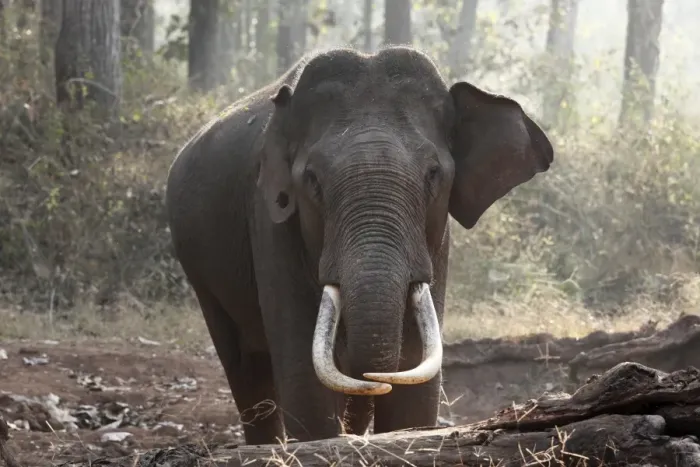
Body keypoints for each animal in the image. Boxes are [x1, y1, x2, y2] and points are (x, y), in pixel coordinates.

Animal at [165, 46, 553, 445]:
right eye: (312, 180)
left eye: (434, 174)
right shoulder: (269, 220)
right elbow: (304, 378)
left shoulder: (438, 241)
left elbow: (413, 380)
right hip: (200, 273)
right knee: (244, 367)